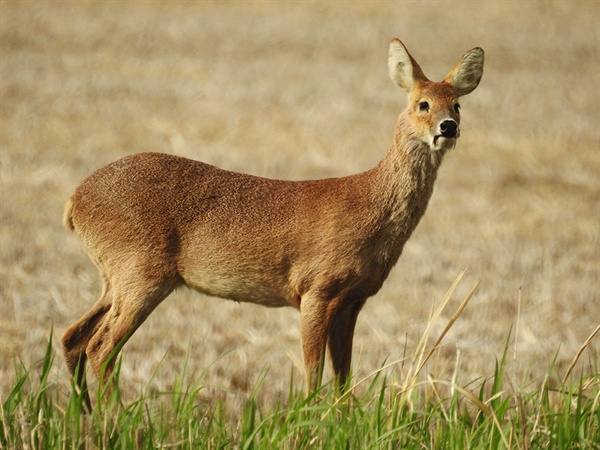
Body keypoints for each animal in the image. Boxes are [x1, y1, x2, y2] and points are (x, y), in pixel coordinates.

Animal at [62, 39, 482, 412]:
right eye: (422, 104)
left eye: (457, 105)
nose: (447, 127)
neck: (369, 205)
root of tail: (75, 201)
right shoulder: (316, 288)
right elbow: (314, 374)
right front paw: (309, 423)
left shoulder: (353, 299)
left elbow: (343, 377)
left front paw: (343, 422)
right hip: (140, 270)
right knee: (101, 347)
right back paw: (117, 419)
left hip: (115, 275)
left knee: (73, 337)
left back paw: (83, 417)